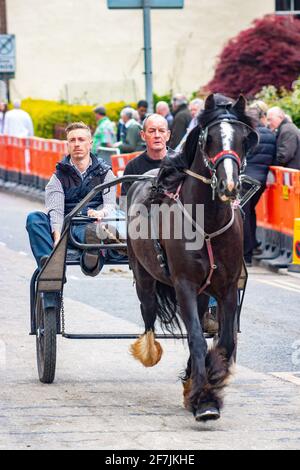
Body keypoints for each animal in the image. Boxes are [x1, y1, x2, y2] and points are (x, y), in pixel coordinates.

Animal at [125, 94, 258, 422]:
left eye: (243, 138)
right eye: (208, 139)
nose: (229, 185)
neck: (207, 223)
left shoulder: (226, 287)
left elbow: (224, 341)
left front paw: (212, 378)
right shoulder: (183, 284)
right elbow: (196, 337)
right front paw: (205, 399)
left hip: (201, 291)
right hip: (144, 278)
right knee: (149, 313)